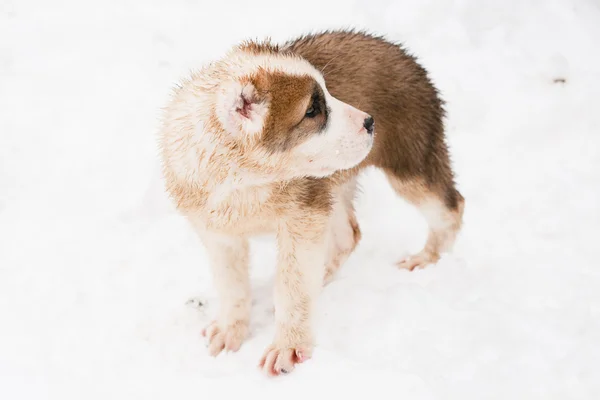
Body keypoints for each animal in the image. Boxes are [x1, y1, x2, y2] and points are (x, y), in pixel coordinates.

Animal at [158, 29, 464, 376]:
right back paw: (326, 273)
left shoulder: (303, 217)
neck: (243, 181)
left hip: (410, 162)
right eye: (311, 111)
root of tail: (404, 54)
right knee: (349, 235)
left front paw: (287, 348)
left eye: (327, 95)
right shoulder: (219, 234)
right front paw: (230, 330)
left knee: (450, 208)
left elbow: (293, 287)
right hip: (335, 185)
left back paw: (427, 259)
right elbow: (231, 285)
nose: (369, 122)